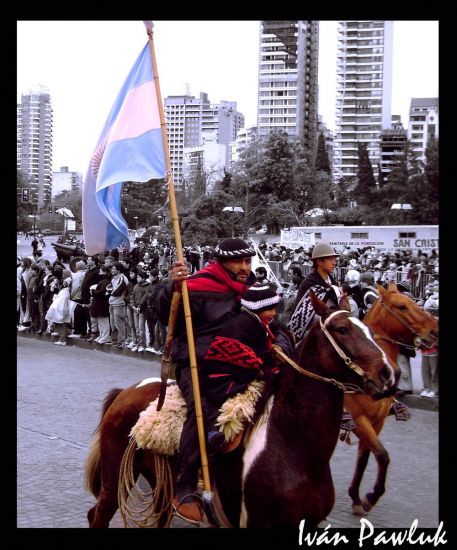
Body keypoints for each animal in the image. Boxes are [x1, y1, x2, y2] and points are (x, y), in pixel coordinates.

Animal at [342, 282, 438, 520]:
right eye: (401, 306)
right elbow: (383, 455)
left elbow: (366, 458)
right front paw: (370, 497)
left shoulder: (376, 422)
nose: (435, 330)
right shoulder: (358, 420)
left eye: (413, 301)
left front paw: (357, 498)